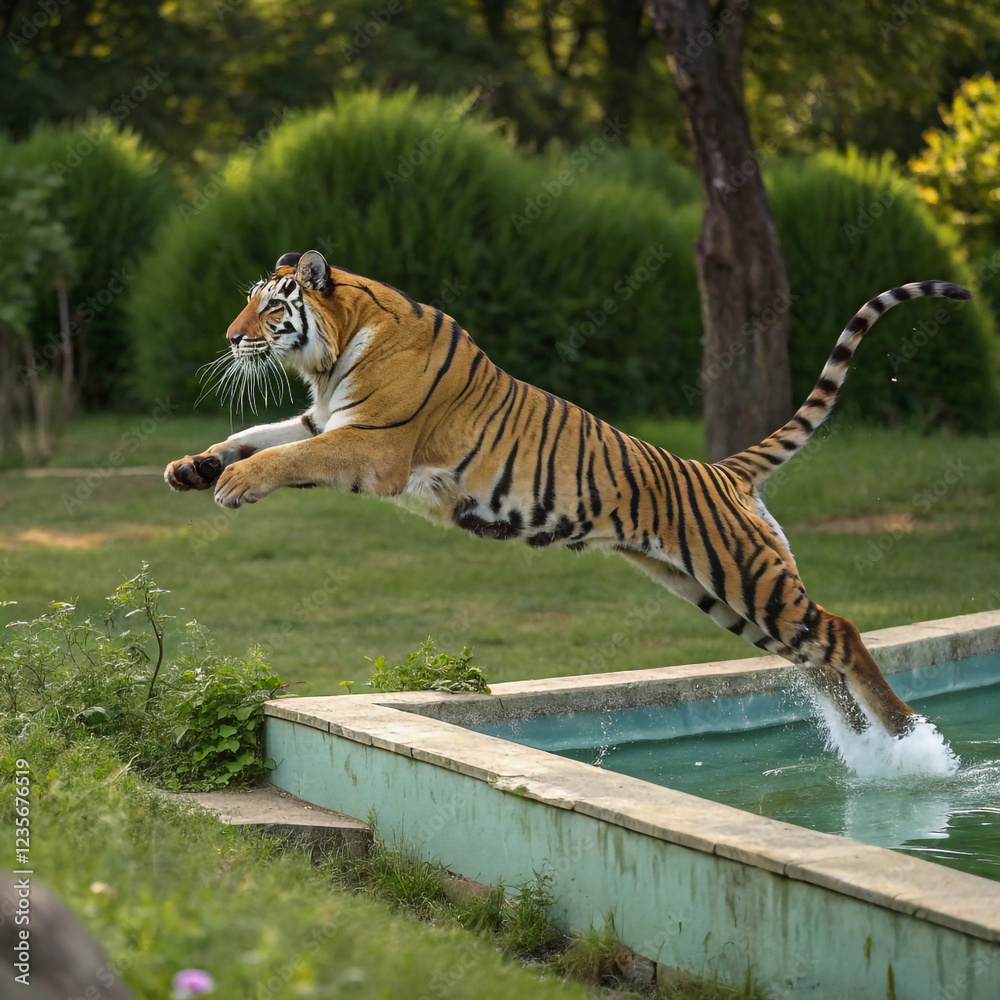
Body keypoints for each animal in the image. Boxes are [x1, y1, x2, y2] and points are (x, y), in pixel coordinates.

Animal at [165, 249, 972, 738]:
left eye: (271, 306)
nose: (230, 337)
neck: (334, 351)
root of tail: (722, 471)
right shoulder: (323, 418)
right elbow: (261, 434)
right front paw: (193, 467)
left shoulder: (371, 443)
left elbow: (287, 454)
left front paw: (234, 484)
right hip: (722, 593)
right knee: (815, 655)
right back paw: (870, 749)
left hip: (748, 578)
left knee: (843, 633)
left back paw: (911, 744)